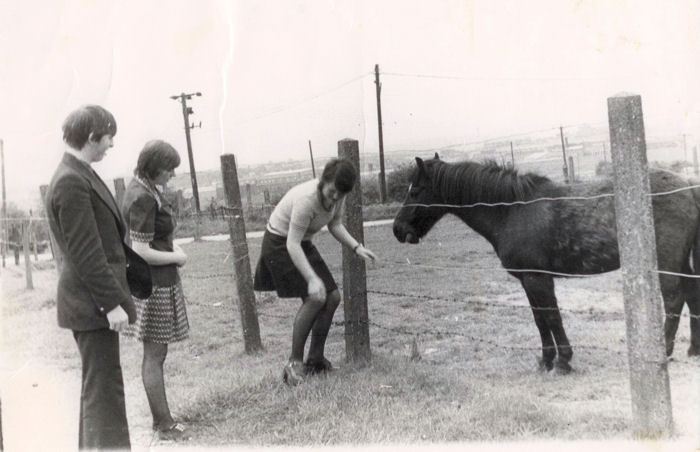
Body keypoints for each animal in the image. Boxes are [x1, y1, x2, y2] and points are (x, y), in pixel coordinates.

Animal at [394, 154, 700, 372]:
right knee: (691, 295)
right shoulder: (530, 280)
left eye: (415, 191)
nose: (398, 229)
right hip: (682, 262)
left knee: (674, 300)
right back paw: (693, 350)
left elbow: (550, 316)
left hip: (667, 262)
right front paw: (546, 360)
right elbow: (540, 318)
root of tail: (688, 185)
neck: (512, 210)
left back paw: (664, 351)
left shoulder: (537, 278)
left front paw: (563, 361)